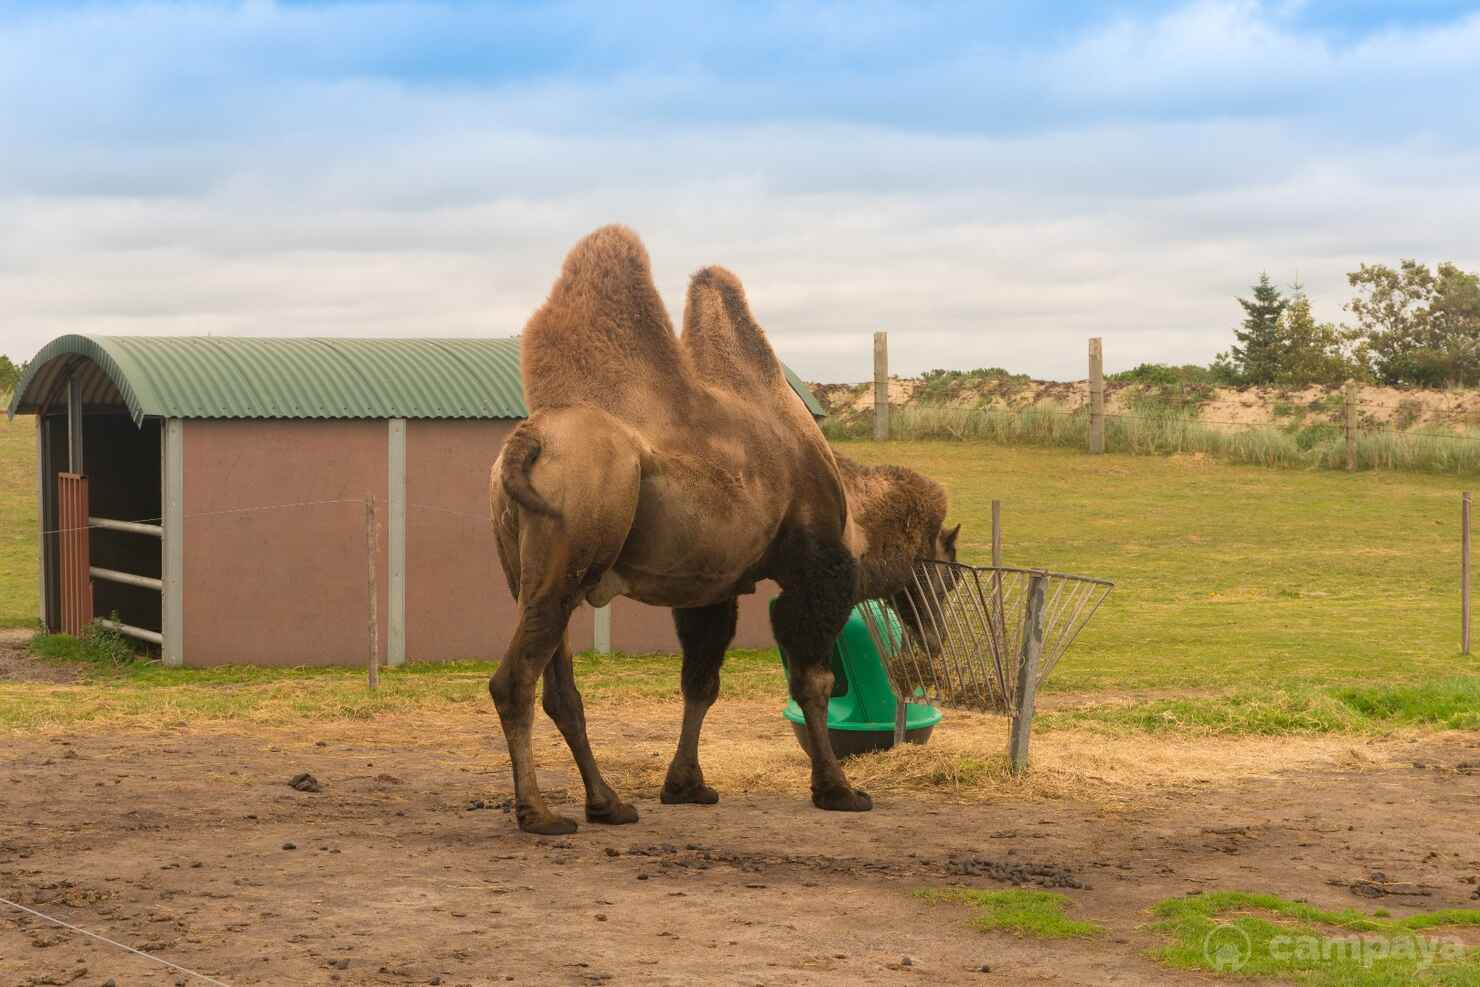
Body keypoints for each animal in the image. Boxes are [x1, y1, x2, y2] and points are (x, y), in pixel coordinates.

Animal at [491, 226, 959, 834]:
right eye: (947, 574)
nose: (934, 638)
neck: (854, 514)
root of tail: (528, 441)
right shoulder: (816, 574)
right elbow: (812, 682)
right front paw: (838, 789)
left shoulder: (710, 589)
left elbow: (701, 683)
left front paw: (686, 786)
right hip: (568, 553)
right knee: (516, 680)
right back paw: (539, 814)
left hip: (528, 570)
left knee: (561, 690)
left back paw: (608, 803)